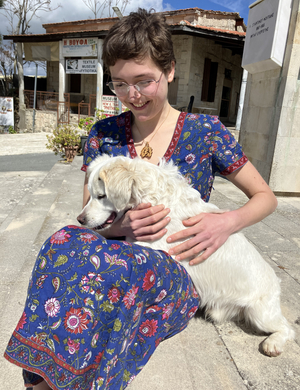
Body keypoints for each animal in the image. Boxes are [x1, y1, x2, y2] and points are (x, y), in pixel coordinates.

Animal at [78, 154, 296, 354]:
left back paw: (273, 344)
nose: (80, 219)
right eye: (91, 194)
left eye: (101, 196)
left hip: (260, 313)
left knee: (288, 328)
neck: (152, 198)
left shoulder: (160, 247)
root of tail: (277, 284)